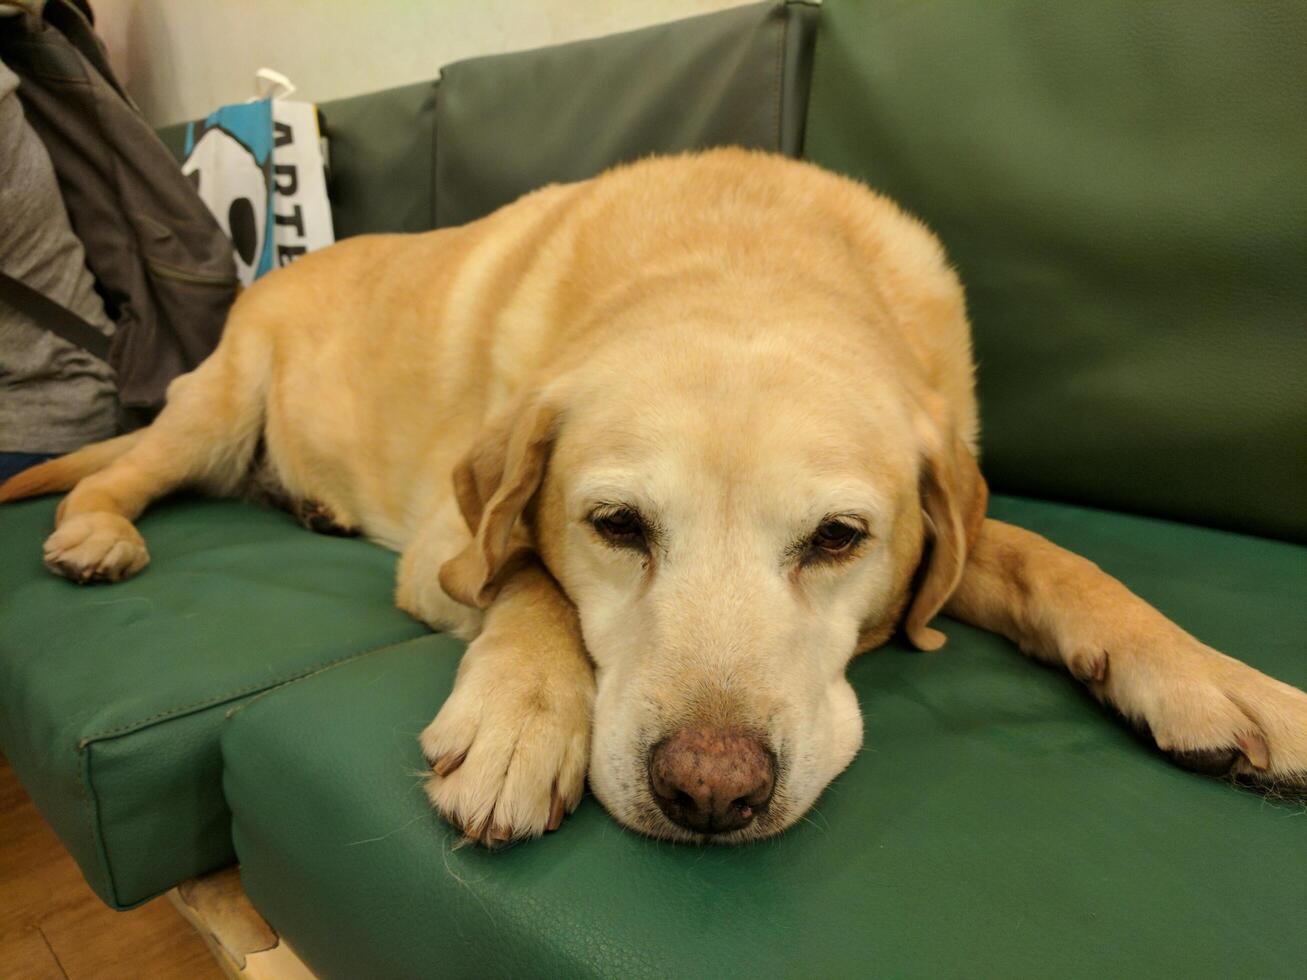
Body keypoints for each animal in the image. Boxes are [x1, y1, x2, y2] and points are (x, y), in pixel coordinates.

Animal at [2, 151, 1307, 846]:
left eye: (838, 538)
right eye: (616, 526)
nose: (709, 794)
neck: (741, 250)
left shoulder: (952, 515)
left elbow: (1057, 561)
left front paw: (1217, 680)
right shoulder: (447, 546)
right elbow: (525, 576)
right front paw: (523, 717)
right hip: (215, 410)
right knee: (120, 469)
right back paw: (93, 535)